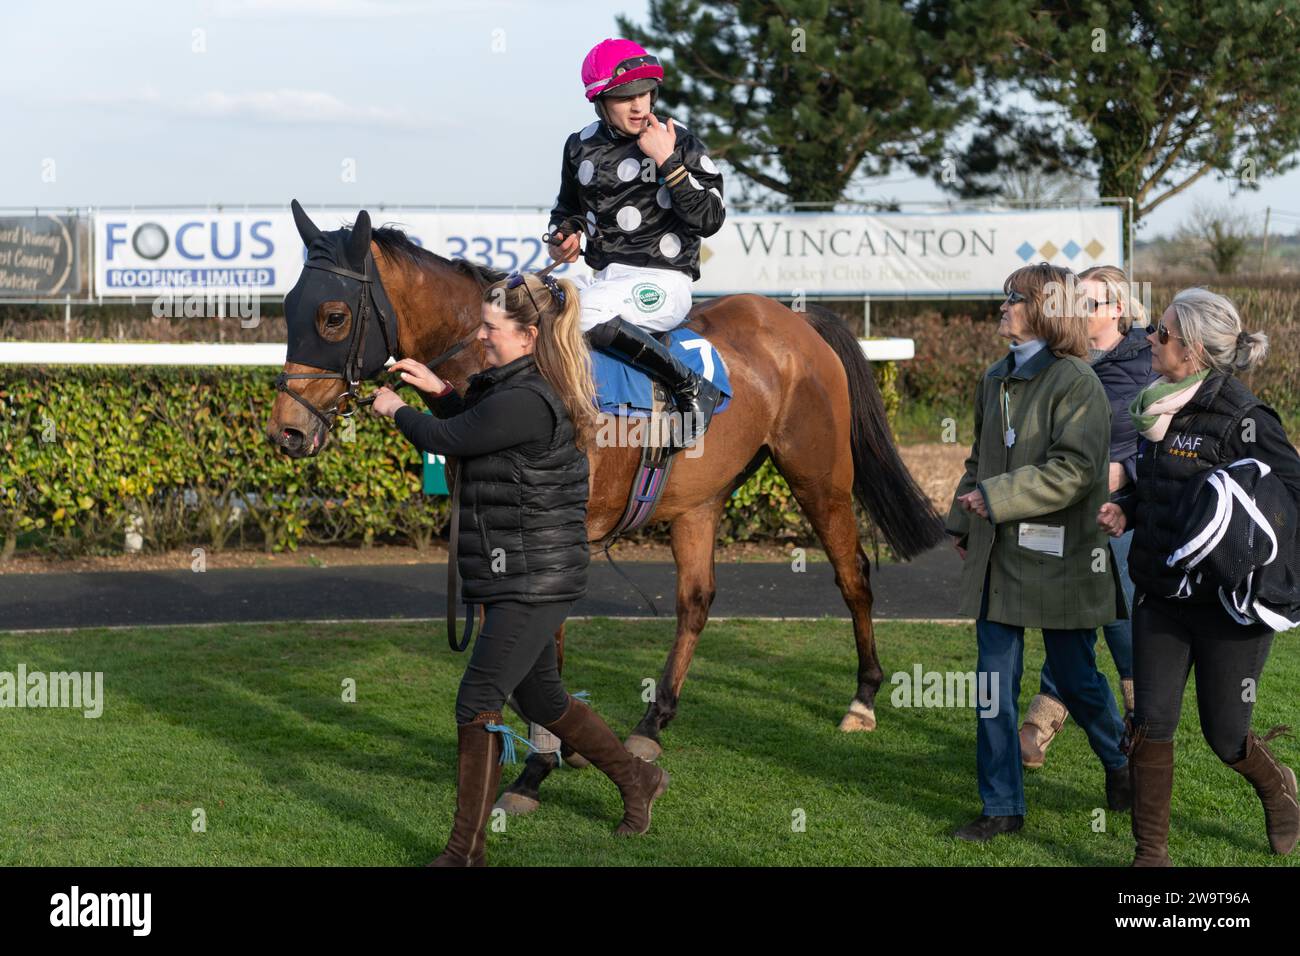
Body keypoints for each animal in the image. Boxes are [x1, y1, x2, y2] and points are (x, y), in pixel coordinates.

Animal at [266, 205, 946, 811]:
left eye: (332, 316)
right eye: (288, 309)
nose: (287, 432)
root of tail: (796, 319)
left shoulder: (555, 542)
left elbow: (545, 650)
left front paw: (536, 770)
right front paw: (544, 751)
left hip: (819, 476)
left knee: (853, 574)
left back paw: (862, 700)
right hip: (699, 501)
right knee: (695, 600)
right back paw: (652, 723)